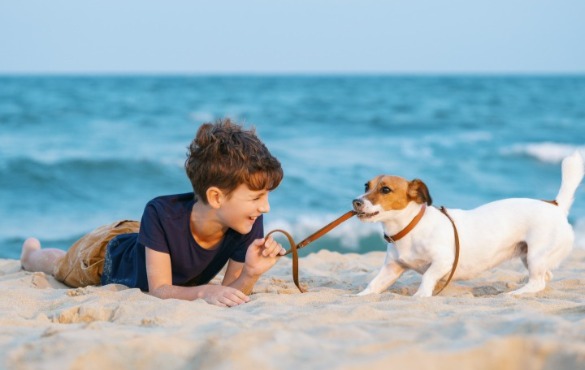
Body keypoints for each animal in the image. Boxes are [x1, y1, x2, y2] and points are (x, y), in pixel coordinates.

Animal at [352, 152, 584, 296]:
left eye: (385, 190)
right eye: (366, 186)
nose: (356, 202)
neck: (410, 228)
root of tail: (556, 206)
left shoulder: (443, 261)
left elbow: (427, 276)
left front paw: (421, 295)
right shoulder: (391, 269)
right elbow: (372, 285)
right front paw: (360, 296)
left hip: (536, 256)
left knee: (537, 282)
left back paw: (515, 293)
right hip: (529, 256)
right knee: (546, 277)